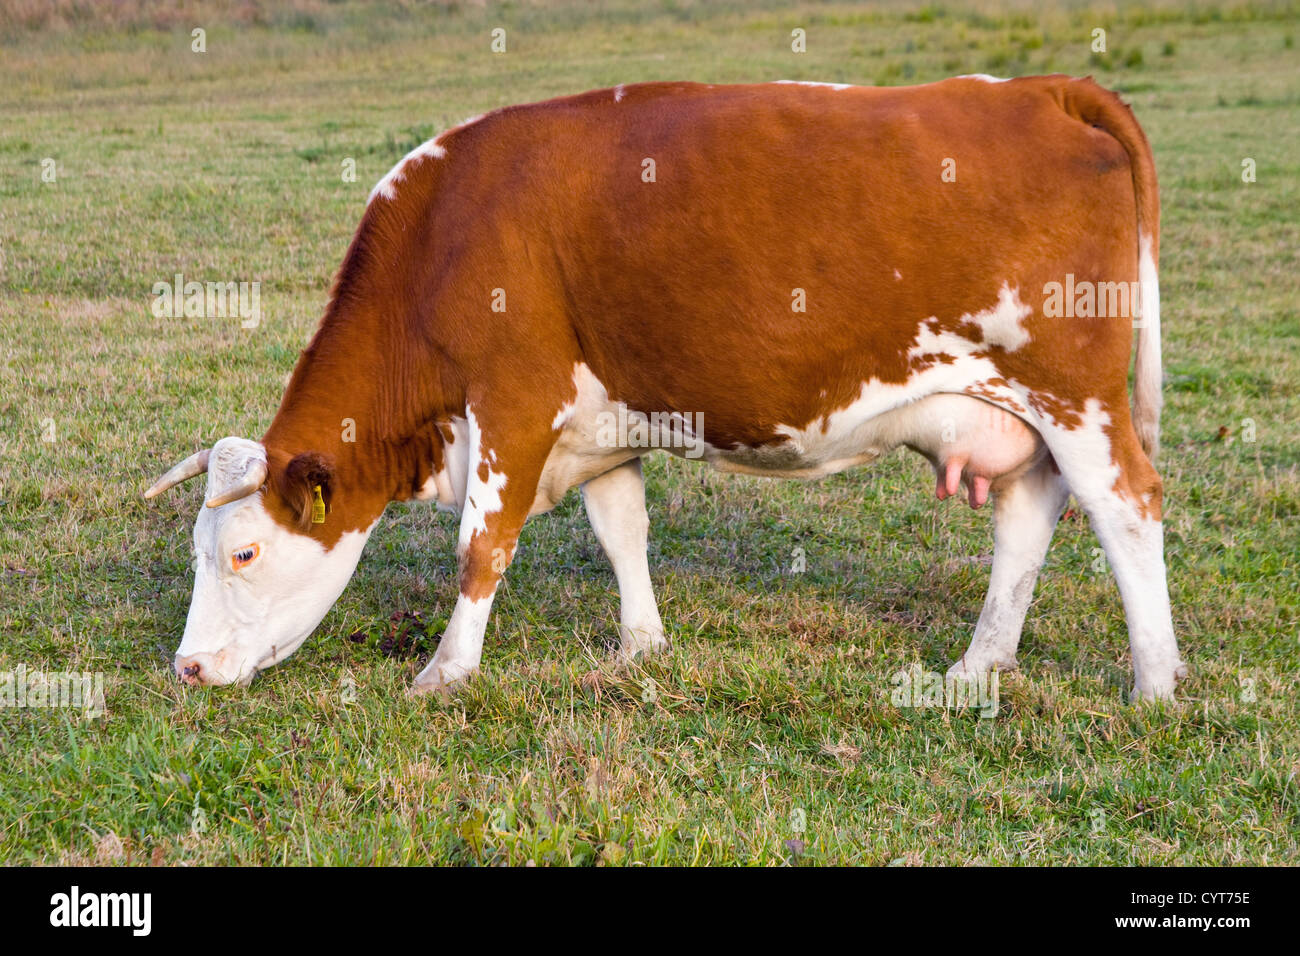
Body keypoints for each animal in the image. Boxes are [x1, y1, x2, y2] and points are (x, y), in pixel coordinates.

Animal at [144, 76, 1186, 701]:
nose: (187, 666)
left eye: (241, 552)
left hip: (1077, 394)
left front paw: (446, 672)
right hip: (1021, 409)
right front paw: (641, 646)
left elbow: (481, 549)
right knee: (1028, 516)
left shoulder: (512, 408)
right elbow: (622, 532)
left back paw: (1154, 683)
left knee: (1126, 507)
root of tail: (1040, 89)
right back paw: (978, 666)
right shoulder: (603, 424)